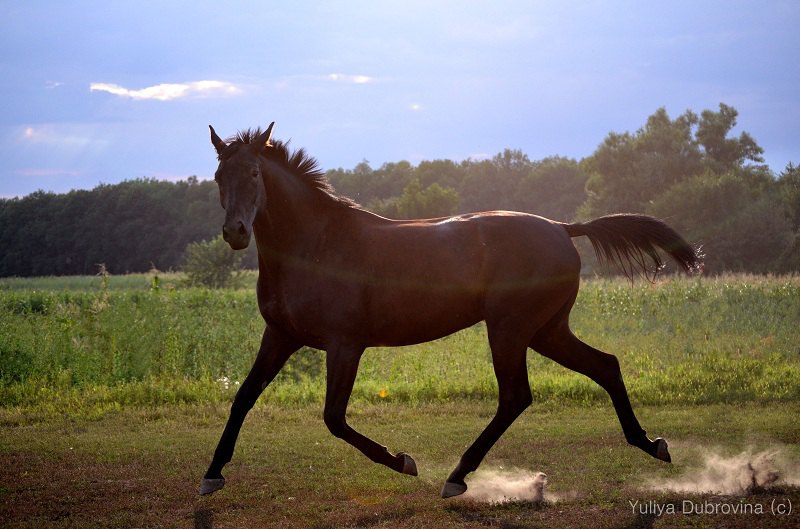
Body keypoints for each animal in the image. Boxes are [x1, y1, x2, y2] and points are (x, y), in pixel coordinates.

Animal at [198, 121, 700, 498]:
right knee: (605, 366)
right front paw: (212, 474)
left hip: (510, 328)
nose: (235, 232)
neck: (316, 245)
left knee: (517, 396)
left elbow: (334, 418)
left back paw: (457, 477)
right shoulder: (280, 336)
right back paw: (651, 444)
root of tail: (562, 227)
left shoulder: (345, 345)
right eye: (220, 177)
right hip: (546, 330)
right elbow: (243, 397)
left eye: (255, 174)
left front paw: (403, 461)